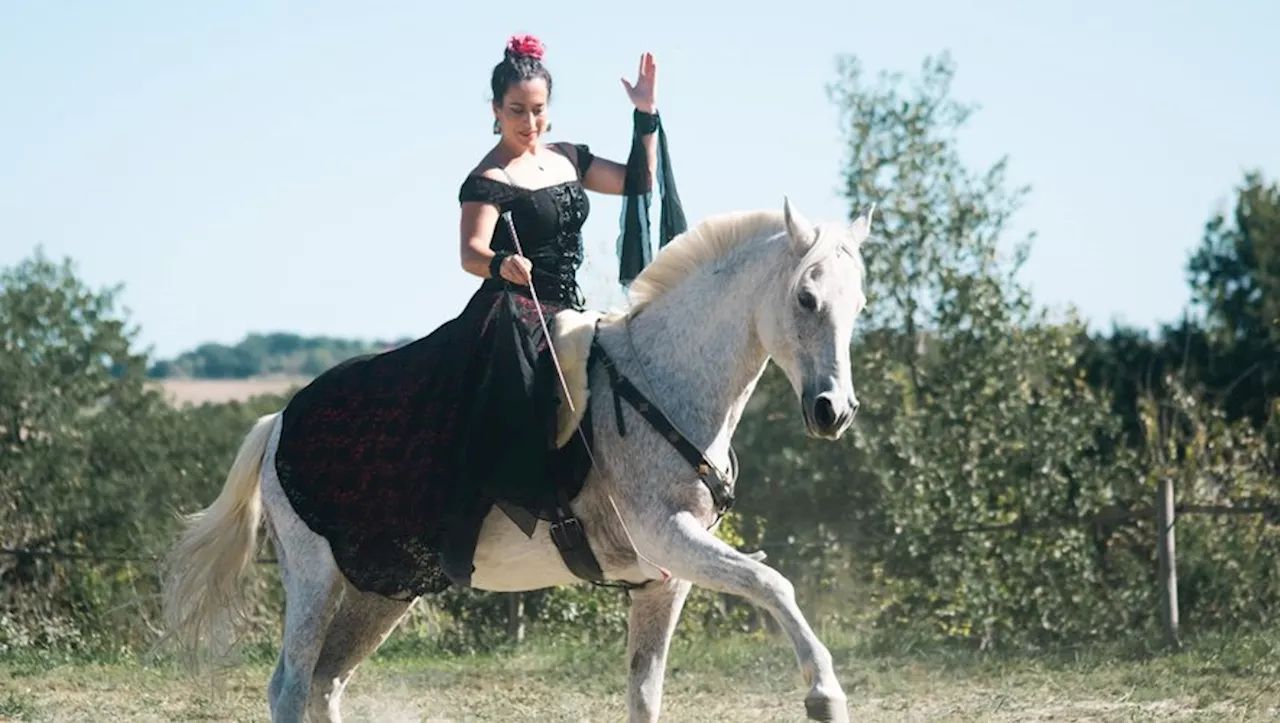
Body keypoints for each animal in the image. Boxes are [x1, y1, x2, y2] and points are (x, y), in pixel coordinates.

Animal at [157, 197, 870, 721]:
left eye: (859, 304)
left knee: (325, 682)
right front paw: (824, 695)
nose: (833, 411)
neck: (659, 380)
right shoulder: (669, 537)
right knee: (289, 683)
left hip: (383, 589)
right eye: (806, 299)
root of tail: (281, 420)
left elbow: (645, 693)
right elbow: (773, 583)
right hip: (314, 576)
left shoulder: (666, 580)